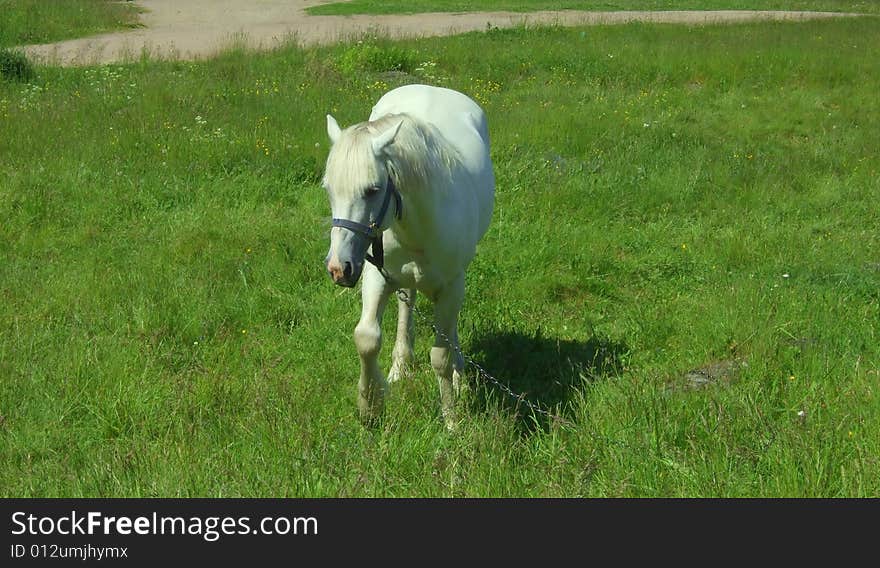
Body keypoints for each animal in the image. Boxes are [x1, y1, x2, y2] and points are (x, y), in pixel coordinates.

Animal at [322, 84, 496, 428]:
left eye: (373, 190)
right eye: (329, 189)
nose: (339, 268)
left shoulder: (451, 286)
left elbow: (440, 355)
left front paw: (451, 419)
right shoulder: (375, 276)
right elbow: (366, 337)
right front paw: (370, 405)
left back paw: (458, 374)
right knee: (407, 303)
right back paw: (400, 367)